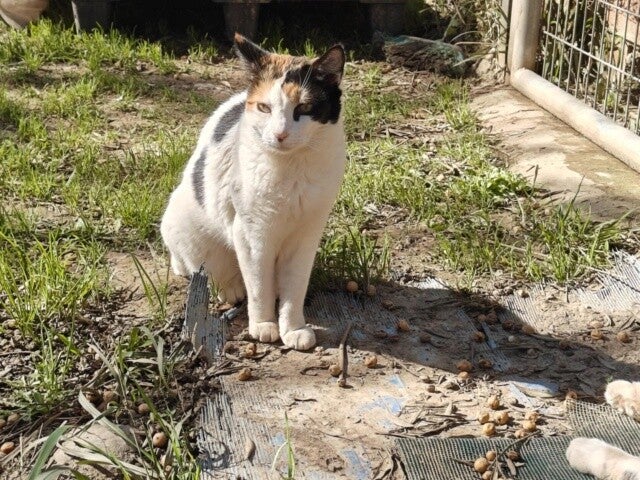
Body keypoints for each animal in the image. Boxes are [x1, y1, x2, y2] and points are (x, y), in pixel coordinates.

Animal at [160, 34, 346, 351]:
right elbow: (259, 284)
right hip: (185, 226)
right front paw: (263, 325)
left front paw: (293, 327)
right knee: (205, 266)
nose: (280, 134)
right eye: (265, 108)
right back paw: (230, 288)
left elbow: (295, 286)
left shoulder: (307, 234)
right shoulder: (251, 234)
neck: (292, 170)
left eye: (303, 108)